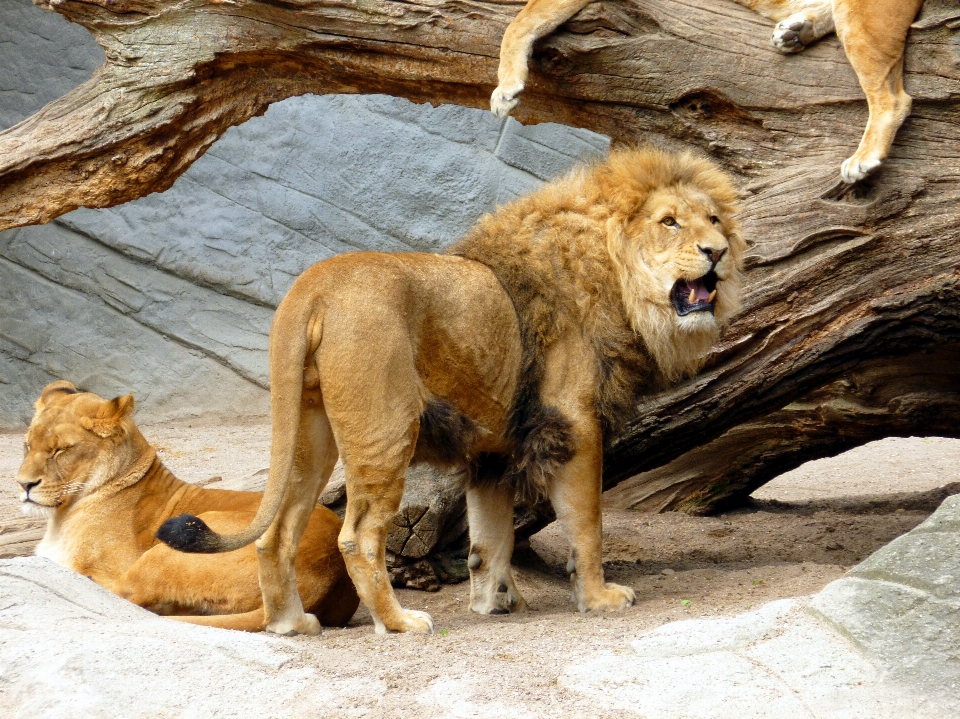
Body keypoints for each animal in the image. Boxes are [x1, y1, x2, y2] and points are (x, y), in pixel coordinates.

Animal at [159, 146, 744, 636]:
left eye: (714, 220)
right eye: (669, 222)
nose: (716, 253)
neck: (618, 279)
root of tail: (314, 287)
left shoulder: (493, 451)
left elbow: (489, 538)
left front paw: (495, 603)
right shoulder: (572, 424)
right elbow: (586, 524)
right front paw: (598, 598)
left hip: (309, 430)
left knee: (276, 532)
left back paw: (292, 624)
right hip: (385, 430)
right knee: (358, 537)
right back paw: (398, 623)